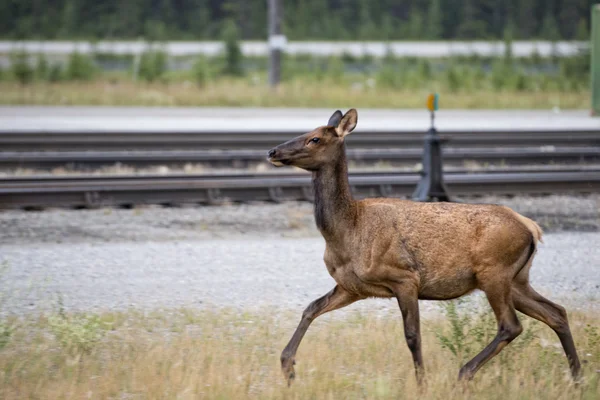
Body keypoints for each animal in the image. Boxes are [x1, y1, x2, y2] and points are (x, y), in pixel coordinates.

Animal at [266, 108, 580, 384]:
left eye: (315, 138)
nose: (272, 152)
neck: (346, 231)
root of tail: (531, 227)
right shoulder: (352, 286)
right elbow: (310, 308)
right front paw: (287, 366)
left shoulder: (404, 278)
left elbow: (412, 335)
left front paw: (422, 382)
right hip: (517, 279)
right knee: (556, 313)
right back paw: (577, 377)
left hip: (495, 272)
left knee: (511, 325)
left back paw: (464, 372)